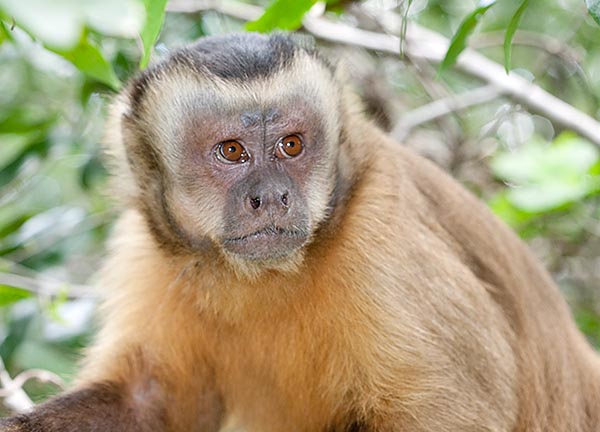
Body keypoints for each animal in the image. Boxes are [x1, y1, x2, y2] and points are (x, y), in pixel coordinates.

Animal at [1, 33, 600, 432]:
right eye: (232, 151)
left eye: (291, 145)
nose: (271, 196)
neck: (265, 278)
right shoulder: (147, 244)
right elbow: (148, 399)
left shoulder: (386, 243)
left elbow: (445, 418)